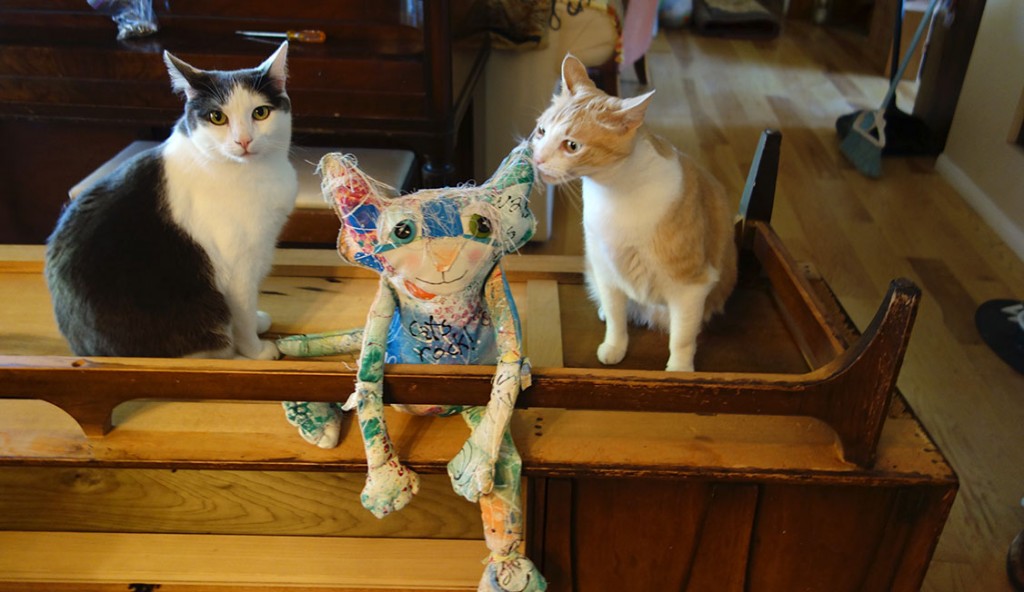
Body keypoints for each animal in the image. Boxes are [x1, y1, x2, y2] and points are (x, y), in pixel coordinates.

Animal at [46, 43, 299, 356]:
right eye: (217, 117)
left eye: (260, 113)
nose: (243, 140)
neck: (256, 171)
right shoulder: (238, 268)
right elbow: (242, 315)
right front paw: (256, 351)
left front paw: (258, 321)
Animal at [528, 54, 737, 368]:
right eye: (541, 131)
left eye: (572, 145)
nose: (538, 159)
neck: (614, 192)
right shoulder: (605, 270)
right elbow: (616, 319)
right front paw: (614, 346)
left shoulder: (690, 285)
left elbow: (682, 336)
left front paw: (680, 369)